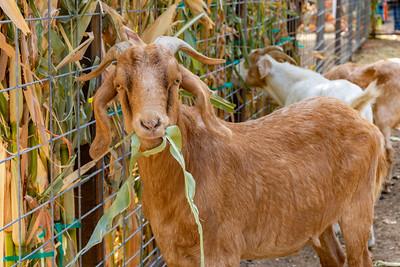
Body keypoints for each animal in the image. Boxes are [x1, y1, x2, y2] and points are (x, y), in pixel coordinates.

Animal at [79, 33, 388, 267]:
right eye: (121, 85)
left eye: (176, 80)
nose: (152, 123)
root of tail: (360, 117)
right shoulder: (174, 254)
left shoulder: (221, 252)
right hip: (320, 220)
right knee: (335, 257)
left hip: (357, 208)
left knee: (360, 258)